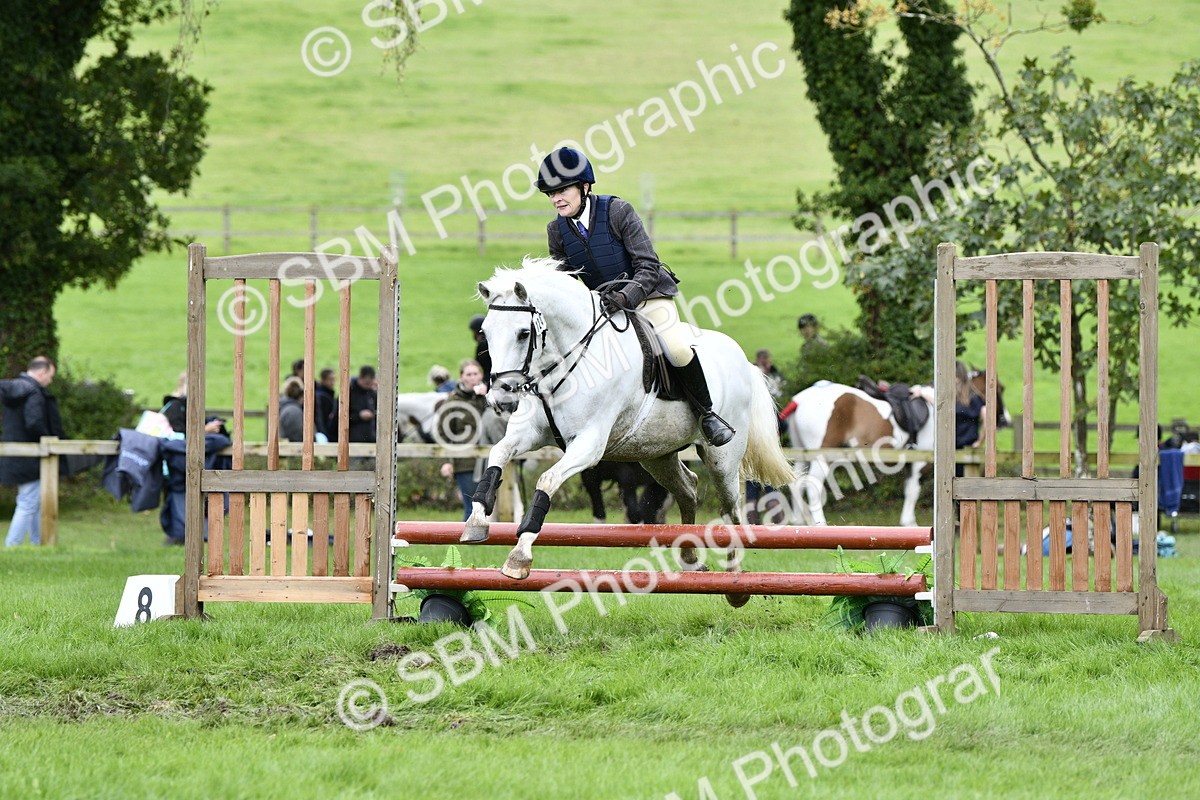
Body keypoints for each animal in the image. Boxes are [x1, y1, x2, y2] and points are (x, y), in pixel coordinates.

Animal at [461, 257, 795, 603]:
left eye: (523, 333)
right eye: (485, 332)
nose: (501, 398)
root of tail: (743, 361)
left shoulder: (589, 444)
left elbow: (547, 480)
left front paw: (519, 556)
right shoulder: (529, 434)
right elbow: (498, 455)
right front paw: (476, 522)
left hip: (723, 458)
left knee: (732, 510)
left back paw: (735, 584)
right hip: (656, 455)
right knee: (688, 488)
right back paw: (690, 559)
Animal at [784, 373, 1008, 527]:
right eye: (1000, 388)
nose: (1003, 419)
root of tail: (800, 399)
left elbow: (909, 489)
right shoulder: (919, 464)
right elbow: (913, 491)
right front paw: (909, 523)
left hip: (803, 454)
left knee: (795, 482)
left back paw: (799, 520)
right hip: (823, 456)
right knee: (812, 485)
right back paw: (819, 523)